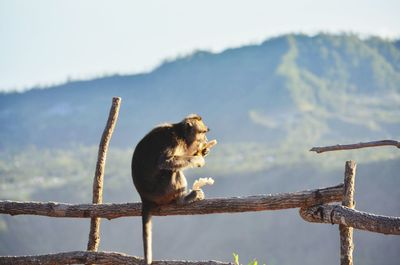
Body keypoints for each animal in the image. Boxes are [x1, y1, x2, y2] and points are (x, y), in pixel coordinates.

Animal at [131, 114, 216, 264]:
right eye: (202, 132)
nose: (205, 140)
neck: (181, 134)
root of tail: (144, 198)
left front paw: (204, 151)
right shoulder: (173, 141)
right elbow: (165, 162)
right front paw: (199, 159)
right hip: (162, 191)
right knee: (172, 170)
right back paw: (183, 200)